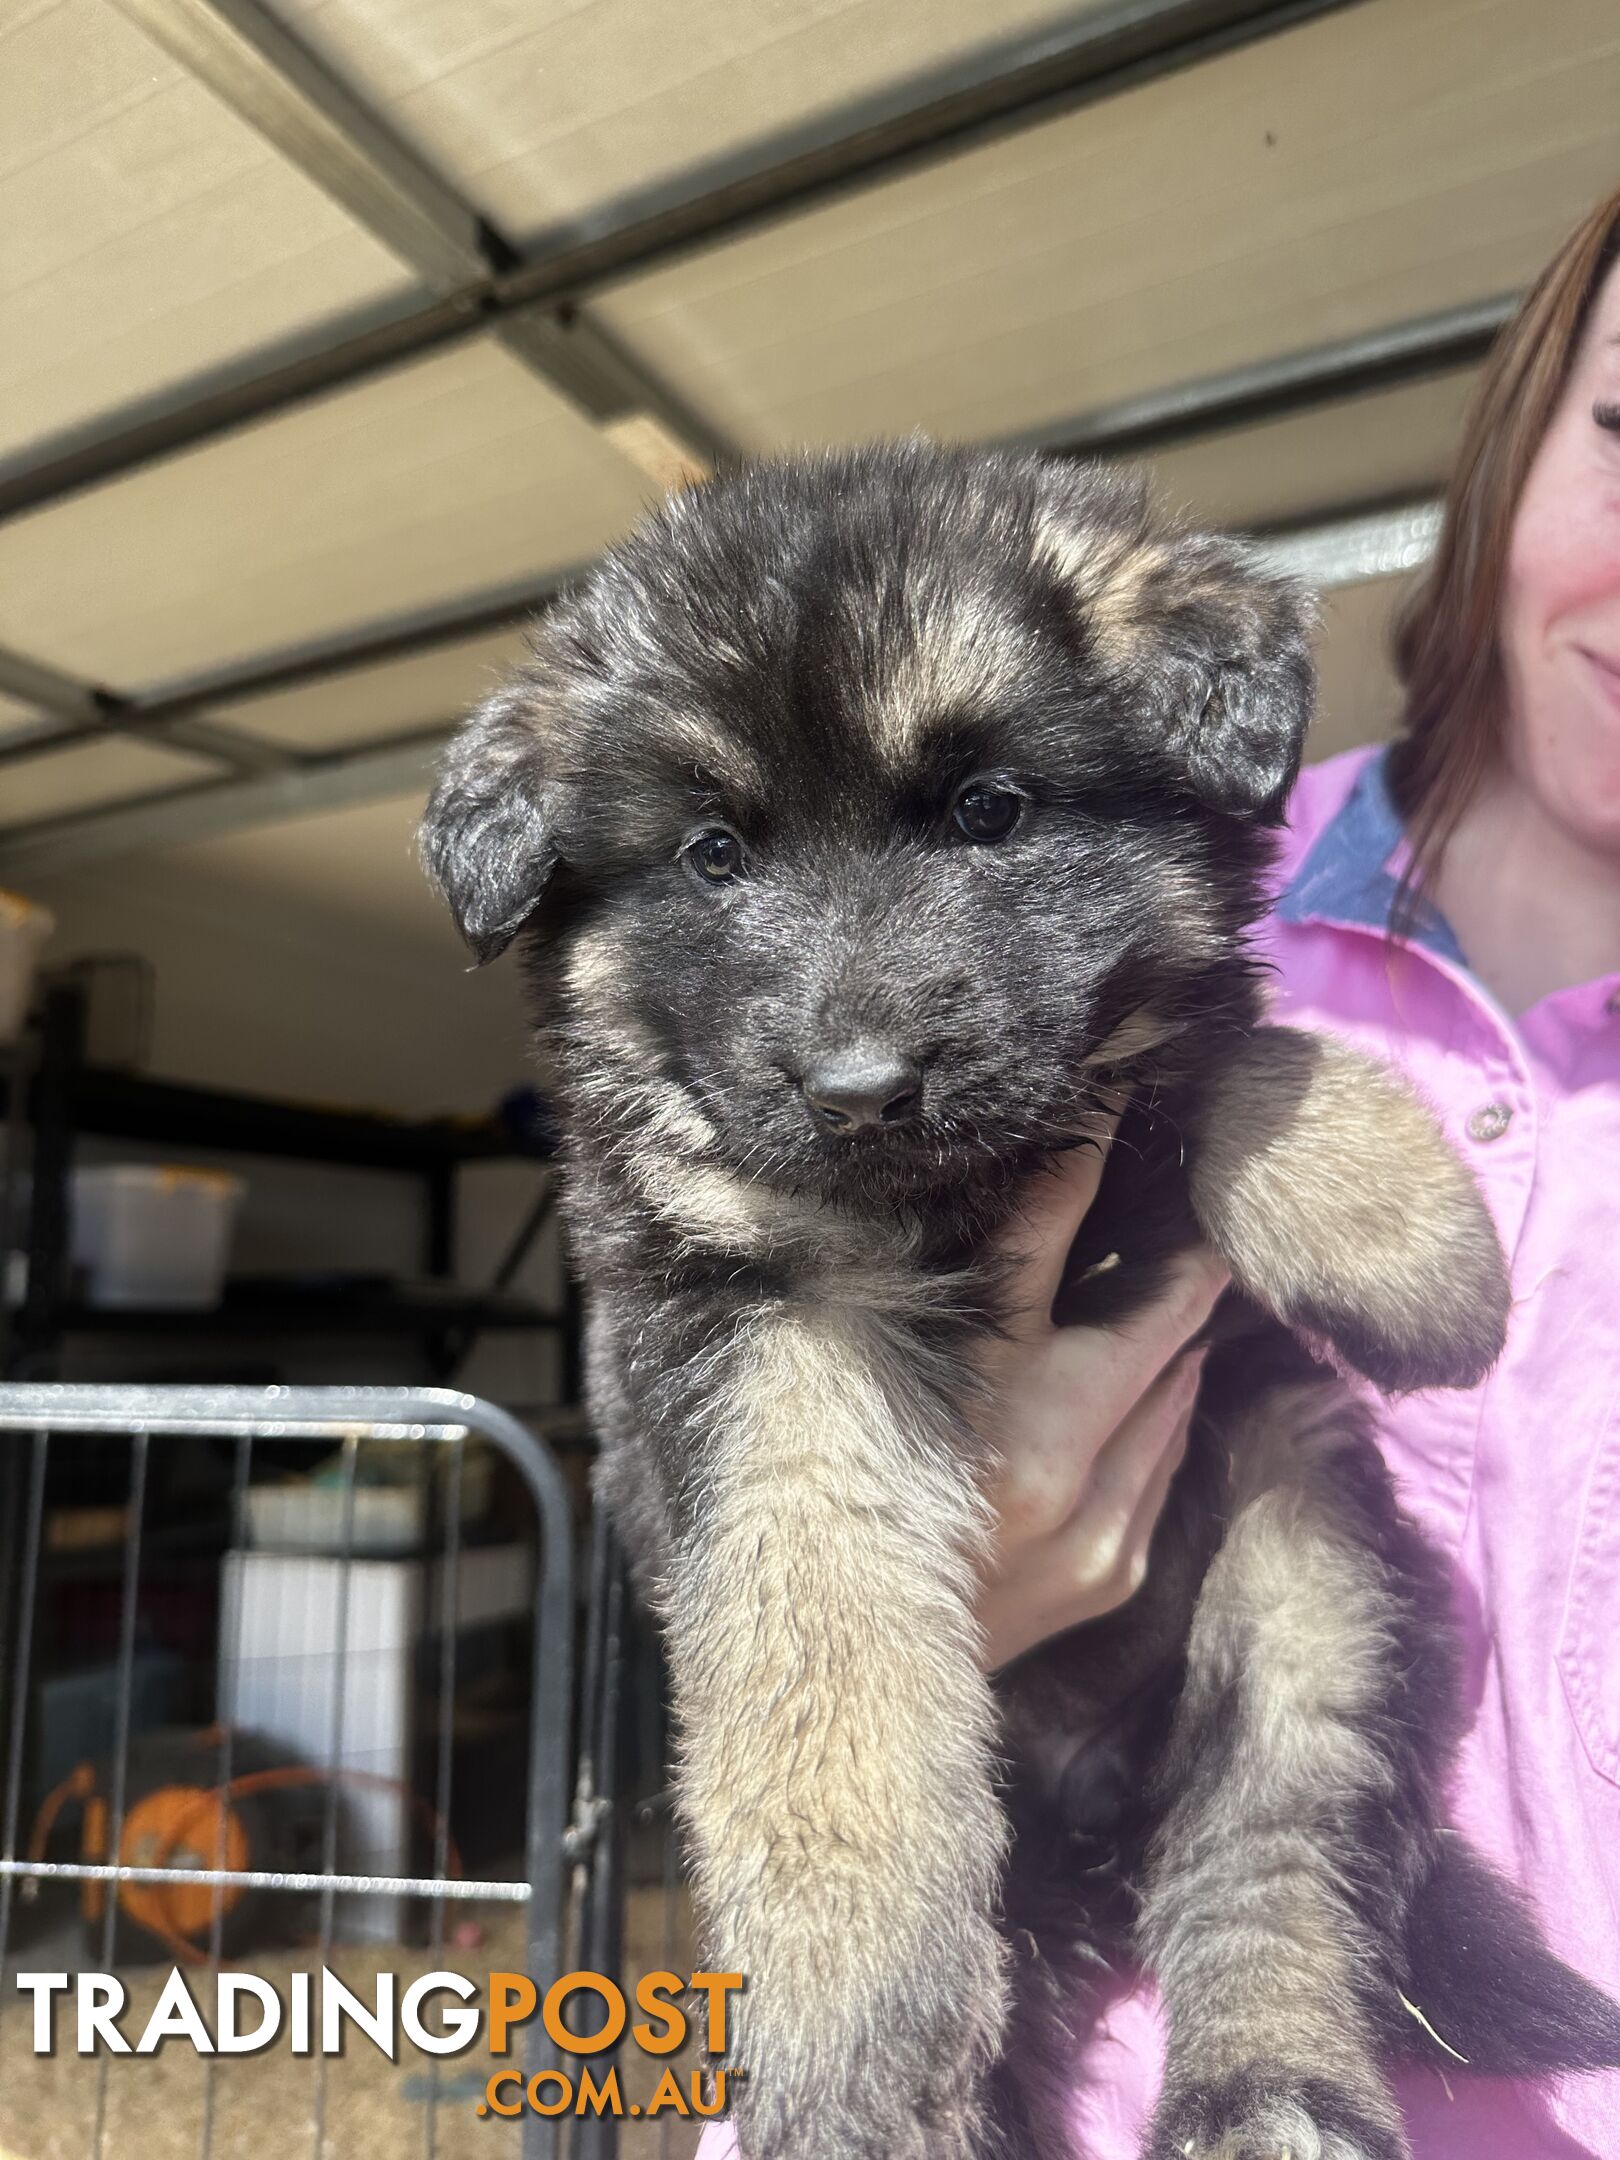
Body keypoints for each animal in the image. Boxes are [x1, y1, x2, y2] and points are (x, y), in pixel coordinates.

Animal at [421, 442, 1620, 2160]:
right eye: (713, 852)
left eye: (992, 811)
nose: (861, 1090)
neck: (964, 1196)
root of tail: (1100, 1839)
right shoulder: (763, 1337)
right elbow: (828, 1660)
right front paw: (849, 2012)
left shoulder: (1132, 1082)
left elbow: (1219, 1046)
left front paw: (1410, 1247)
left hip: (1307, 1567)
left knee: (1274, 1866)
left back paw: (1273, 2087)